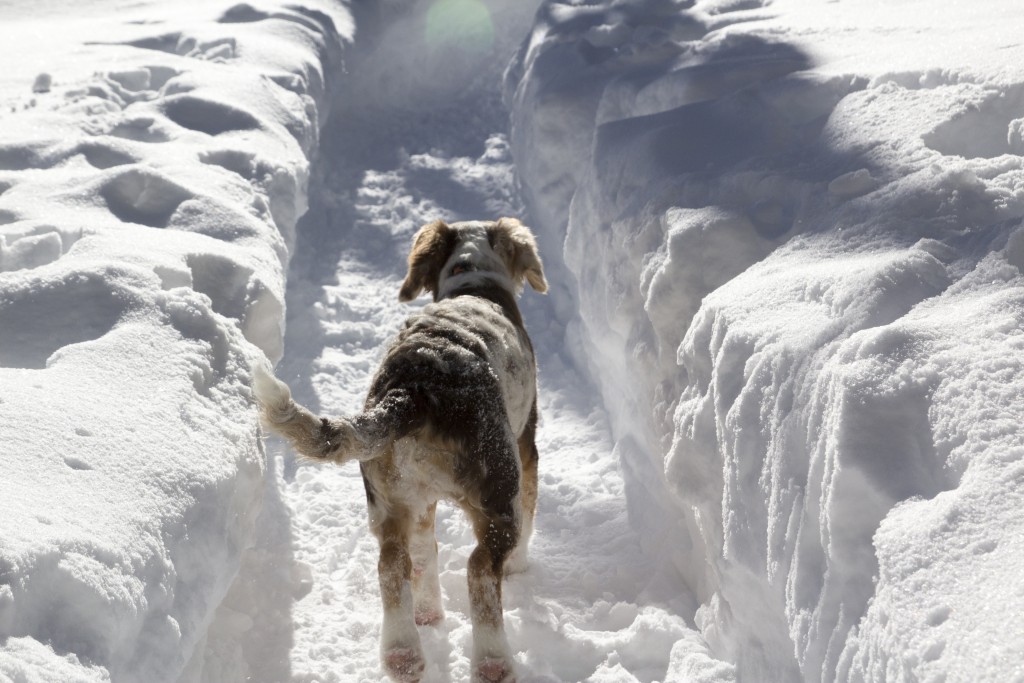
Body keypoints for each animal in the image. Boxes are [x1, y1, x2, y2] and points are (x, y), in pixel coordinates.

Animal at [252, 218, 548, 683]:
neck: (474, 279)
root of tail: (415, 391)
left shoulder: (419, 500)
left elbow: (425, 553)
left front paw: (428, 613)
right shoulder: (527, 444)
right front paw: (519, 566)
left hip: (389, 496)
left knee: (395, 563)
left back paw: (404, 652)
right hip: (499, 488)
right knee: (480, 570)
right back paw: (492, 662)